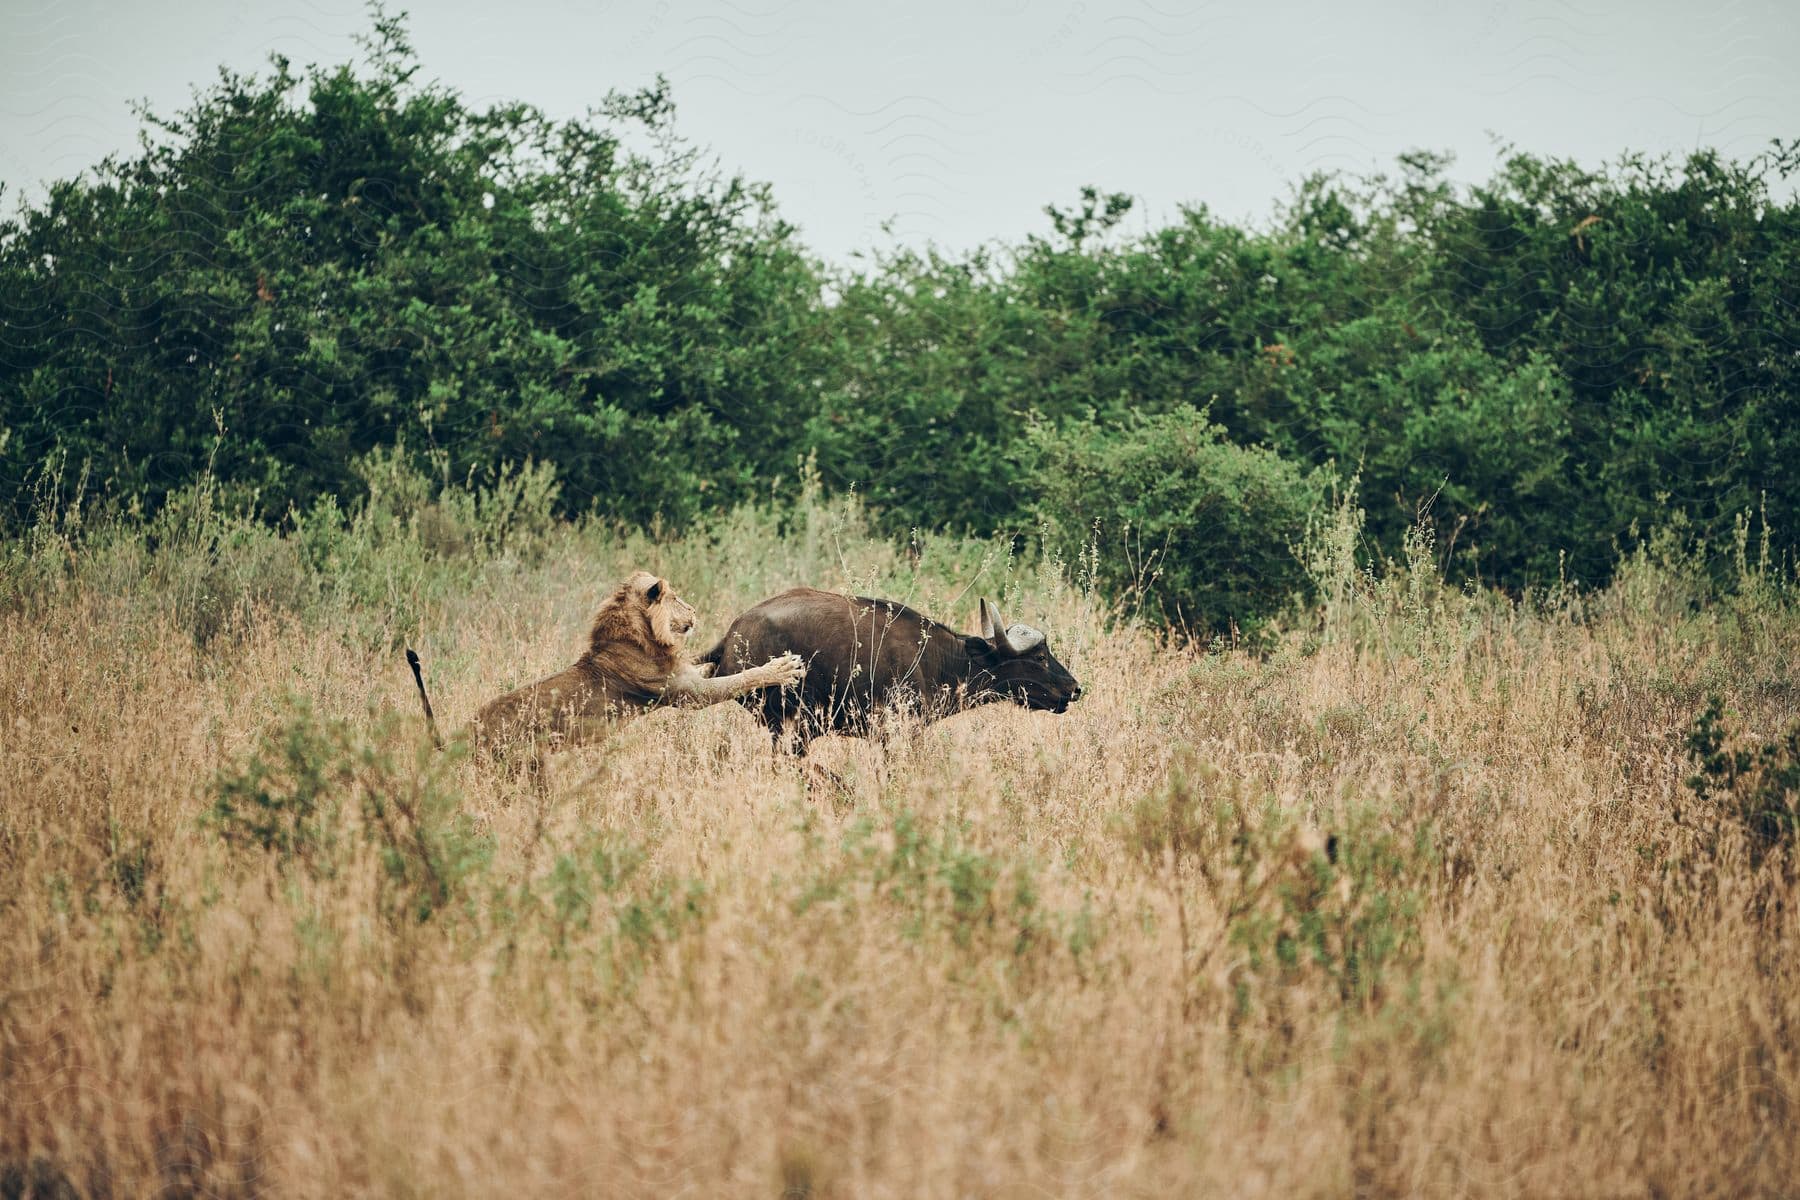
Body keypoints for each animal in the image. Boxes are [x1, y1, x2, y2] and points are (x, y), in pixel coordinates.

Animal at [408, 572, 810, 773]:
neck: (641, 635)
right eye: (676, 598)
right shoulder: (687, 694)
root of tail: (464, 734)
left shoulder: (686, 676)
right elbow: (738, 679)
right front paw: (782, 667)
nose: (694, 611)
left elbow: (707, 667)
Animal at [694, 590, 1072, 755]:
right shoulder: (894, 732)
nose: (1075, 687)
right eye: (1040, 656)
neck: (935, 660)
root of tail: (733, 634)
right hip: (796, 723)